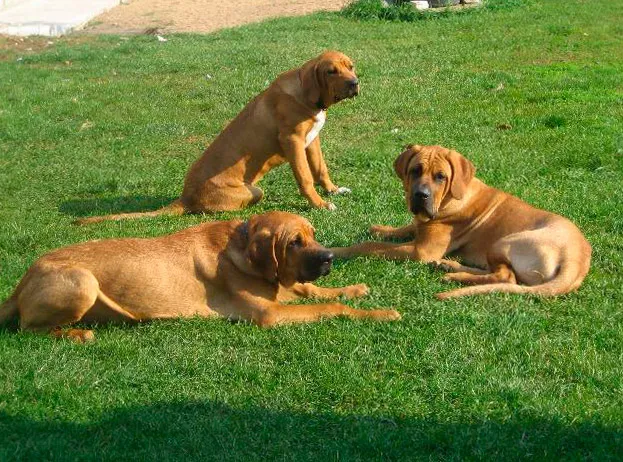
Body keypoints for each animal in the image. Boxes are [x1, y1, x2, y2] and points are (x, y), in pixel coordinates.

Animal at [0, 211, 400, 342]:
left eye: (313, 235)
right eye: (294, 242)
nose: (329, 258)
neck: (240, 246)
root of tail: (22, 282)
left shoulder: (281, 289)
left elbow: (315, 290)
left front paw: (353, 287)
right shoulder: (269, 314)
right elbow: (329, 306)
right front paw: (379, 312)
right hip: (84, 282)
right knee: (27, 329)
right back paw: (76, 334)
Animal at [77, 50, 360, 224]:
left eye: (350, 67)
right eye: (331, 71)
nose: (355, 83)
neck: (309, 96)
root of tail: (186, 197)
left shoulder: (311, 140)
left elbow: (320, 169)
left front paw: (333, 190)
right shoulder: (292, 141)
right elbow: (305, 178)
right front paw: (319, 204)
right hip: (253, 190)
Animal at [330, 144, 592, 300]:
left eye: (441, 177)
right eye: (415, 170)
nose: (421, 195)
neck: (449, 200)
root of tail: (576, 259)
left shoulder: (422, 251)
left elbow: (370, 247)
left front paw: (343, 250)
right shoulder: (421, 227)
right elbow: (409, 226)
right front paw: (381, 229)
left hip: (504, 242)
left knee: (505, 276)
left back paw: (454, 275)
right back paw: (448, 266)